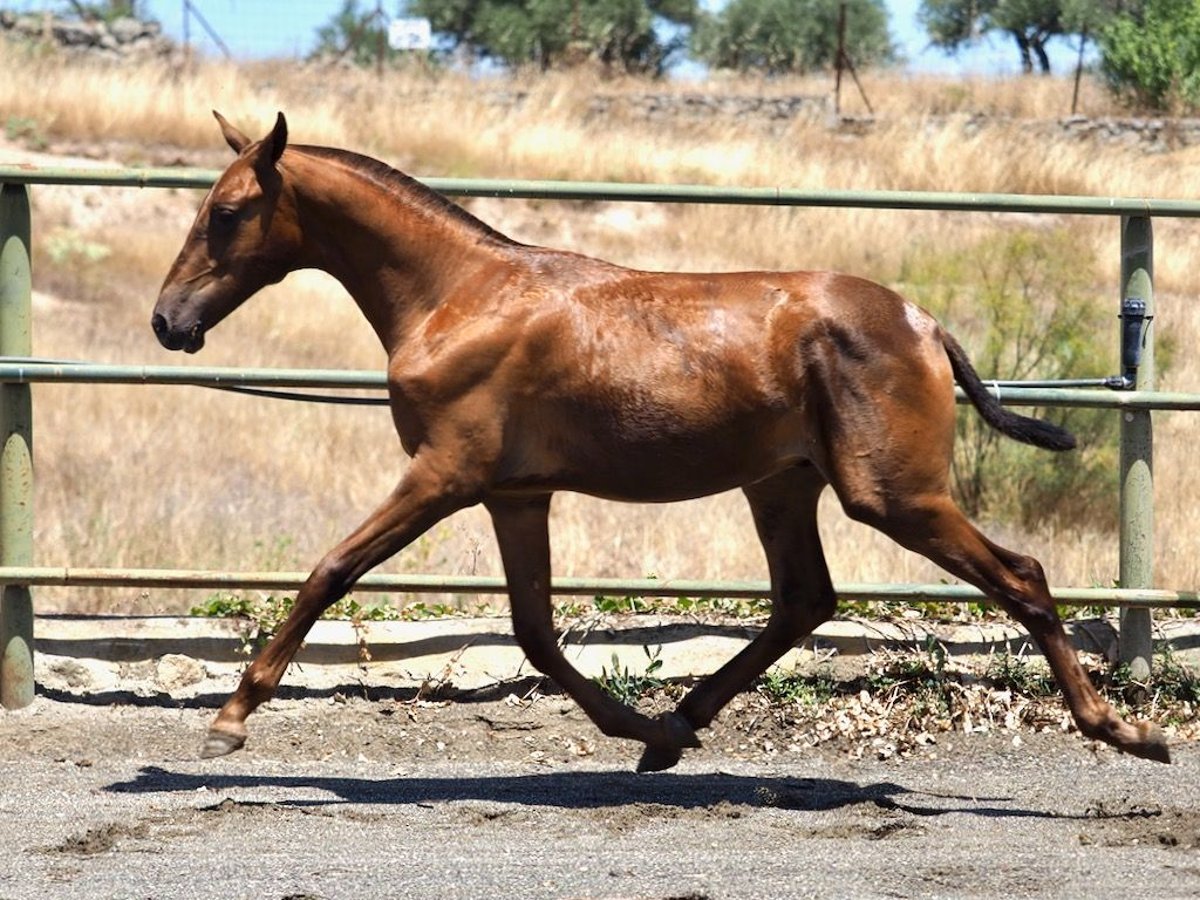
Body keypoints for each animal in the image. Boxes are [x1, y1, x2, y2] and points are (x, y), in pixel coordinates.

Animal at [152, 112, 1171, 772]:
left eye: (228, 212)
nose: (169, 322)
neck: (458, 297)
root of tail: (924, 323)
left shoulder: (444, 474)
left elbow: (331, 570)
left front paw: (230, 718)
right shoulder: (515, 492)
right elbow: (534, 633)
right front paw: (647, 734)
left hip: (894, 495)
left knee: (1021, 578)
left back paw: (1125, 731)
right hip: (784, 485)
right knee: (804, 599)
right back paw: (683, 723)